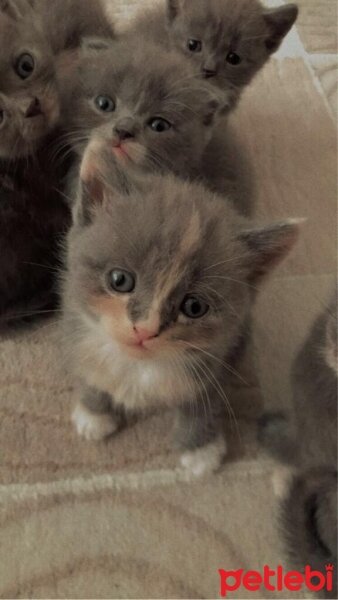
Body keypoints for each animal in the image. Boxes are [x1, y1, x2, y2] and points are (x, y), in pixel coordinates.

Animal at [62, 143, 300, 476]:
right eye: (119, 280)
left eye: (194, 306)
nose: (145, 329)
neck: (139, 366)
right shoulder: (74, 323)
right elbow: (89, 368)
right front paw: (93, 412)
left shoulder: (218, 354)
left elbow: (202, 399)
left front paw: (200, 448)